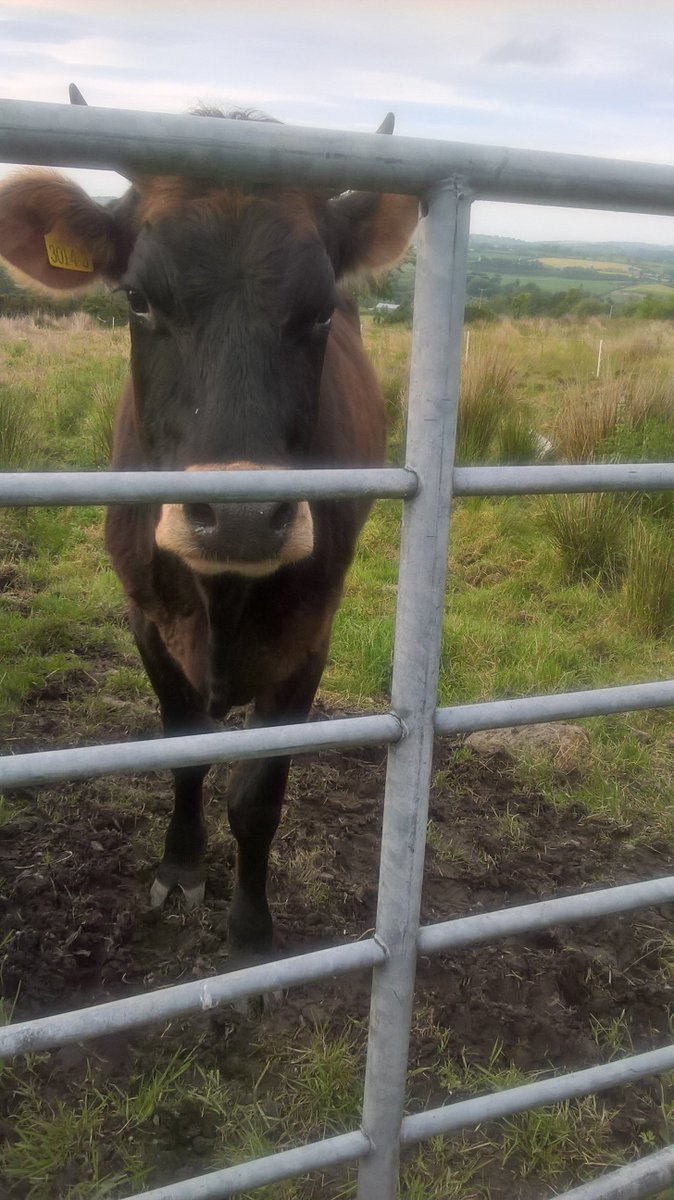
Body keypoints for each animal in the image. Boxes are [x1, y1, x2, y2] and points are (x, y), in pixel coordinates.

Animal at [0, 99, 418, 956]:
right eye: (136, 298)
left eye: (321, 307)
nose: (241, 517)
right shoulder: (146, 618)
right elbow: (186, 753)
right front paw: (181, 866)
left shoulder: (309, 634)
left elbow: (259, 793)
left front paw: (252, 931)